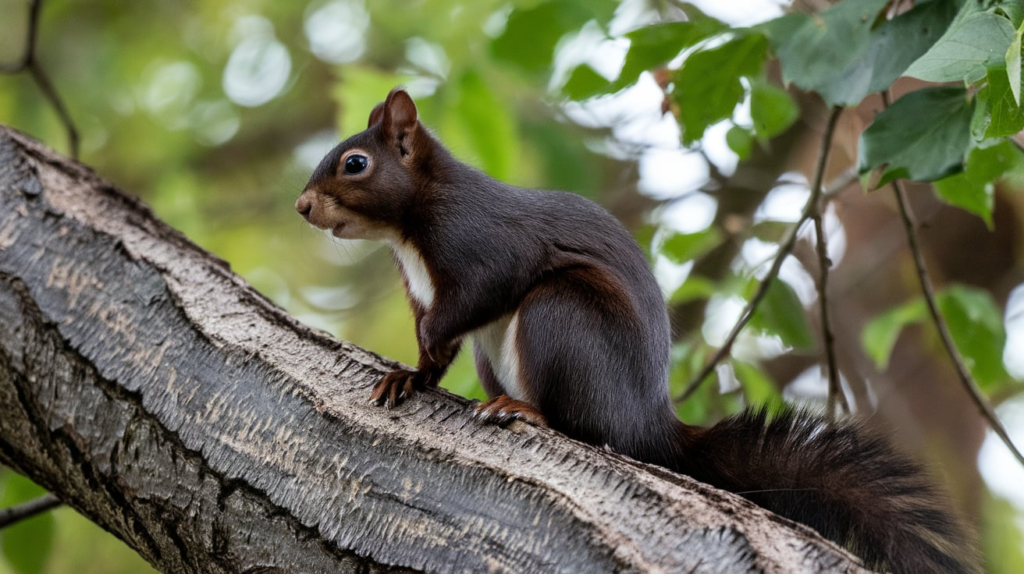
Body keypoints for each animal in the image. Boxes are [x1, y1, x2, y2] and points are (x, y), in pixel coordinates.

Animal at [294, 87, 974, 568]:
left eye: (355, 163)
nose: (302, 207)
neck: (407, 231)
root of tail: (648, 424)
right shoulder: (421, 290)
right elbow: (433, 349)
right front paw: (409, 375)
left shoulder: (485, 244)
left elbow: (477, 296)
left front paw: (425, 353)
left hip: (561, 315)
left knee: (581, 422)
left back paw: (524, 410)